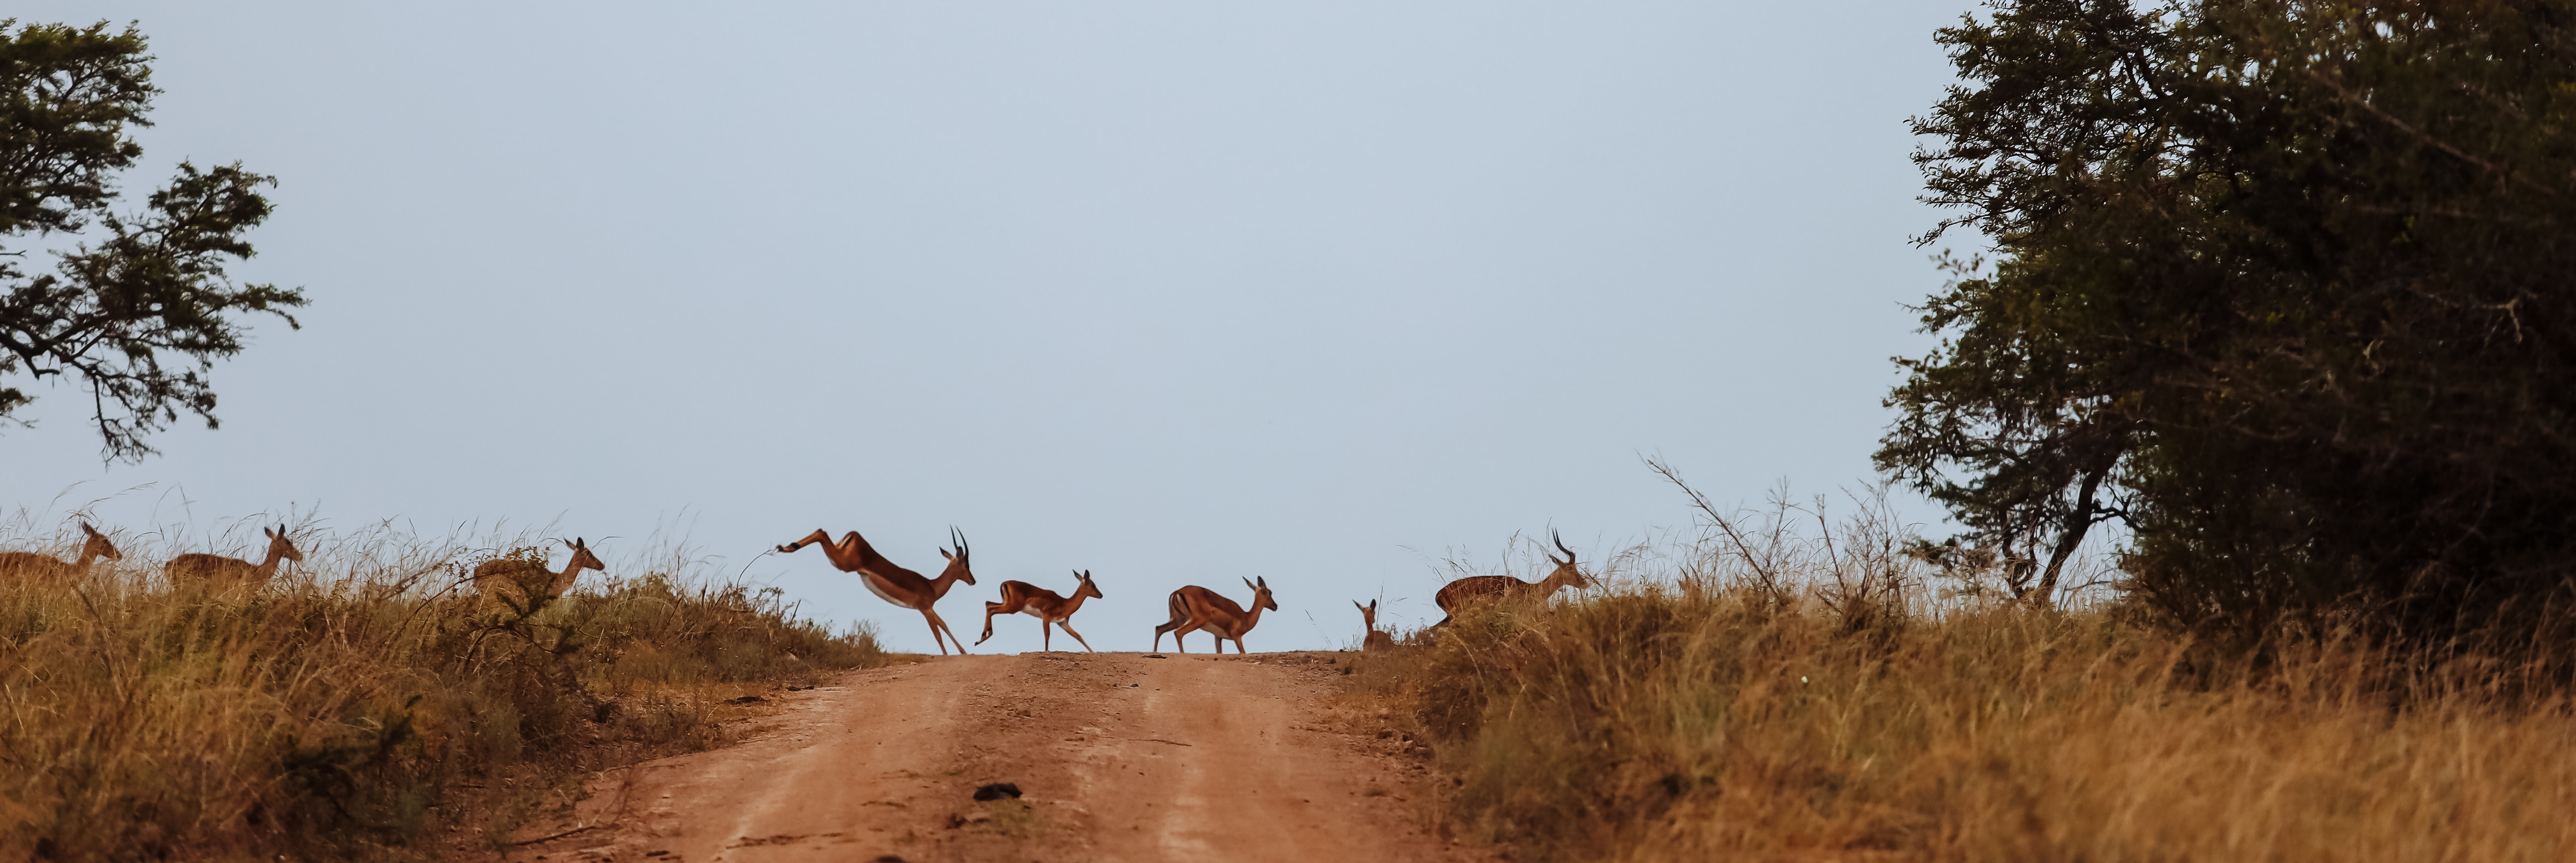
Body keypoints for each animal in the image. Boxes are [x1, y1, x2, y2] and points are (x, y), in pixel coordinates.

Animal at [779, 526, 977, 655]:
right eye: (966, 565)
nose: (973, 581)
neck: (932, 586)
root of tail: (855, 536)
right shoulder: (925, 609)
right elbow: (938, 632)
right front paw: (949, 655)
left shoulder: (928, 609)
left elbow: (944, 625)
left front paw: (964, 651)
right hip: (844, 565)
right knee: (822, 532)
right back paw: (787, 548)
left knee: (821, 530)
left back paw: (784, 547)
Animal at [977, 569, 1104, 652]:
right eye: (1093, 585)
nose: (1101, 595)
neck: (1065, 603)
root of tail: (1005, 584)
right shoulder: (1046, 617)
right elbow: (1047, 635)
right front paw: (1046, 652)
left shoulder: (1063, 623)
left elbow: (1078, 636)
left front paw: (1093, 652)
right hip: (1012, 608)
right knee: (991, 609)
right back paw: (983, 638)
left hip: (1007, 605)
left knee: (988, 604)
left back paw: (981, 639)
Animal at [1151, 577, 1277, 655]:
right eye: (1269, 592)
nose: (1275, 606)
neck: (1246, 617)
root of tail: (1178, 591)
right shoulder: (1237, 637)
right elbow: (1243, 652)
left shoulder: (1218, 637)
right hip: (1196, 621)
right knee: (1178, 633)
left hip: (1179, 620)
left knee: (1159, 628)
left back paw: (1155, 652)